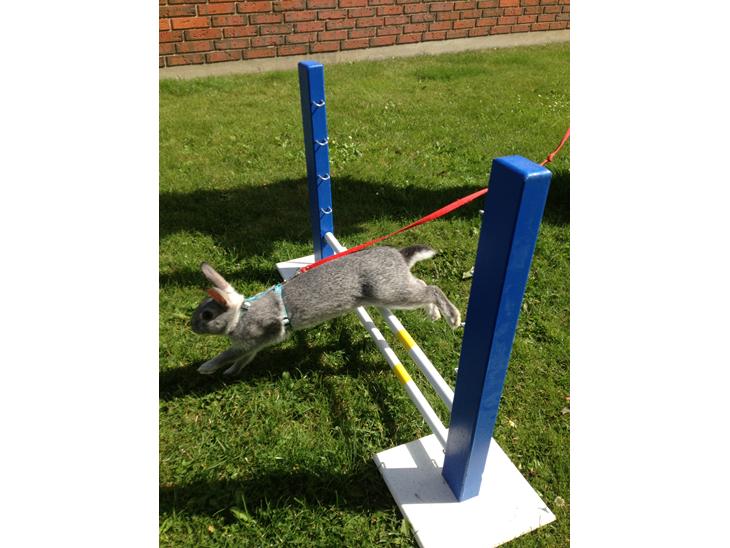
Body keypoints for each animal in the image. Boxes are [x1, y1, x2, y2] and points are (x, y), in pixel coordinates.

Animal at [191, 245, 461, 376]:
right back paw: (433, 314)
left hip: (389, 292)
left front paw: (206, 368)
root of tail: (399, 256)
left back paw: (453, 317)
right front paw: (230, 373)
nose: (191, 326)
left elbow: (228, 354)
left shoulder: (251, 338)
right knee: (423, 285)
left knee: (433, 289)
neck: (241, 313)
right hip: (397, 288)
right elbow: (242, 359)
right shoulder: (253, 346)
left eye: (207, 315)